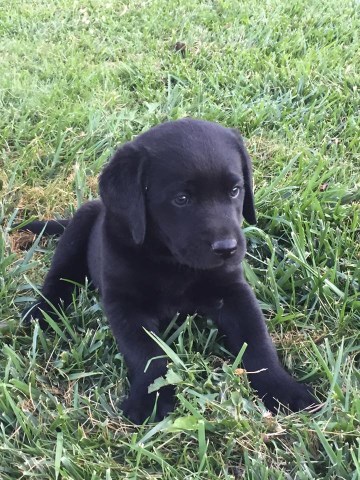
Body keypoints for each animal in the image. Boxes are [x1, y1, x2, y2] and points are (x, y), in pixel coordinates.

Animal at [21, 118, 316, 422]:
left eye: (235, 190)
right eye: (182, 199)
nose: (227, 248)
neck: (171, 261)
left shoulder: (234, 291)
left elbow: (257, 341)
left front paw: (282, 388)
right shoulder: (124, 304)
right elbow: (146, 353)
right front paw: (150, 398)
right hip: (77, 229)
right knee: (58, 279)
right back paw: (40, 314)